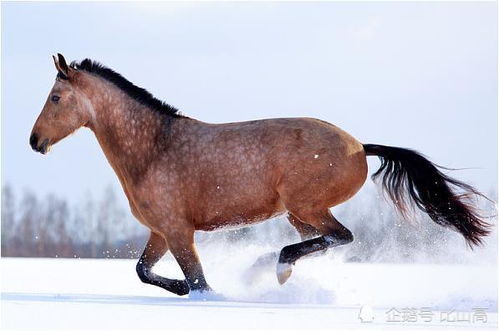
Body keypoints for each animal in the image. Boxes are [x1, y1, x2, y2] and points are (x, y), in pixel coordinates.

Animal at [31, 53, 492, 296]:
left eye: (55, 97)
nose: (35, 142)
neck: (153, 148)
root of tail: (361, 146)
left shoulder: (179, 231)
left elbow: (197, 280)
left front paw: (202, 294)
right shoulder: (160, 231)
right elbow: (144, 271)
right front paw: (182, 291)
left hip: (306, 204)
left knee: (340, 237)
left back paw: (274, 267)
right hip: (298, 213)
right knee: (322, 240)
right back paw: (268, 268)